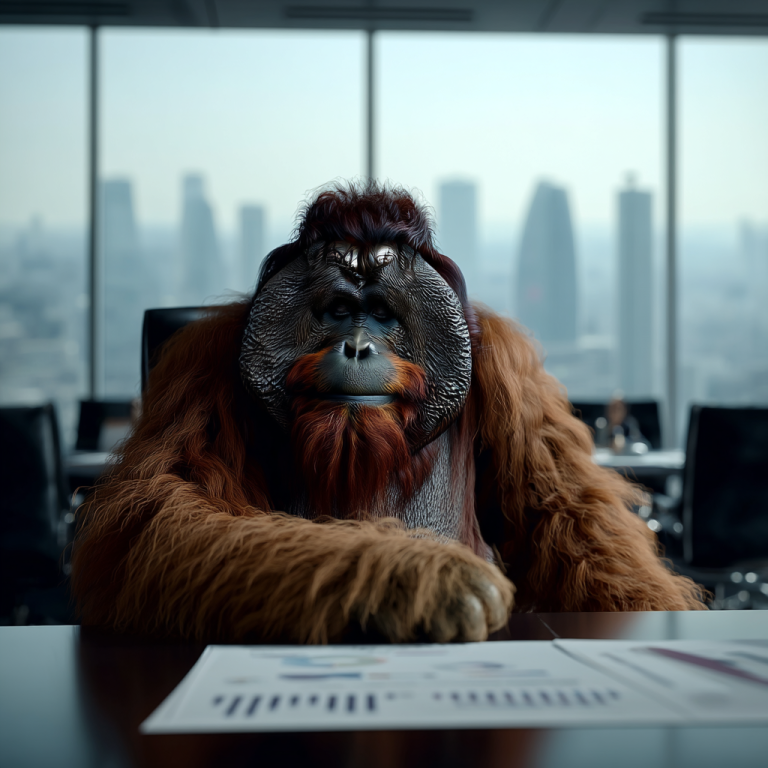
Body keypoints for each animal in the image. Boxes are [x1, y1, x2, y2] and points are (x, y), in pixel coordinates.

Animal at [71, 181, 705, 645]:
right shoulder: (201, 371)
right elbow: (158, 512)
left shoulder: (512, 375)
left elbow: (575, 520)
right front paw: (419, 579)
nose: (356, 345)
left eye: (380, 312)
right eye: (336, 310)